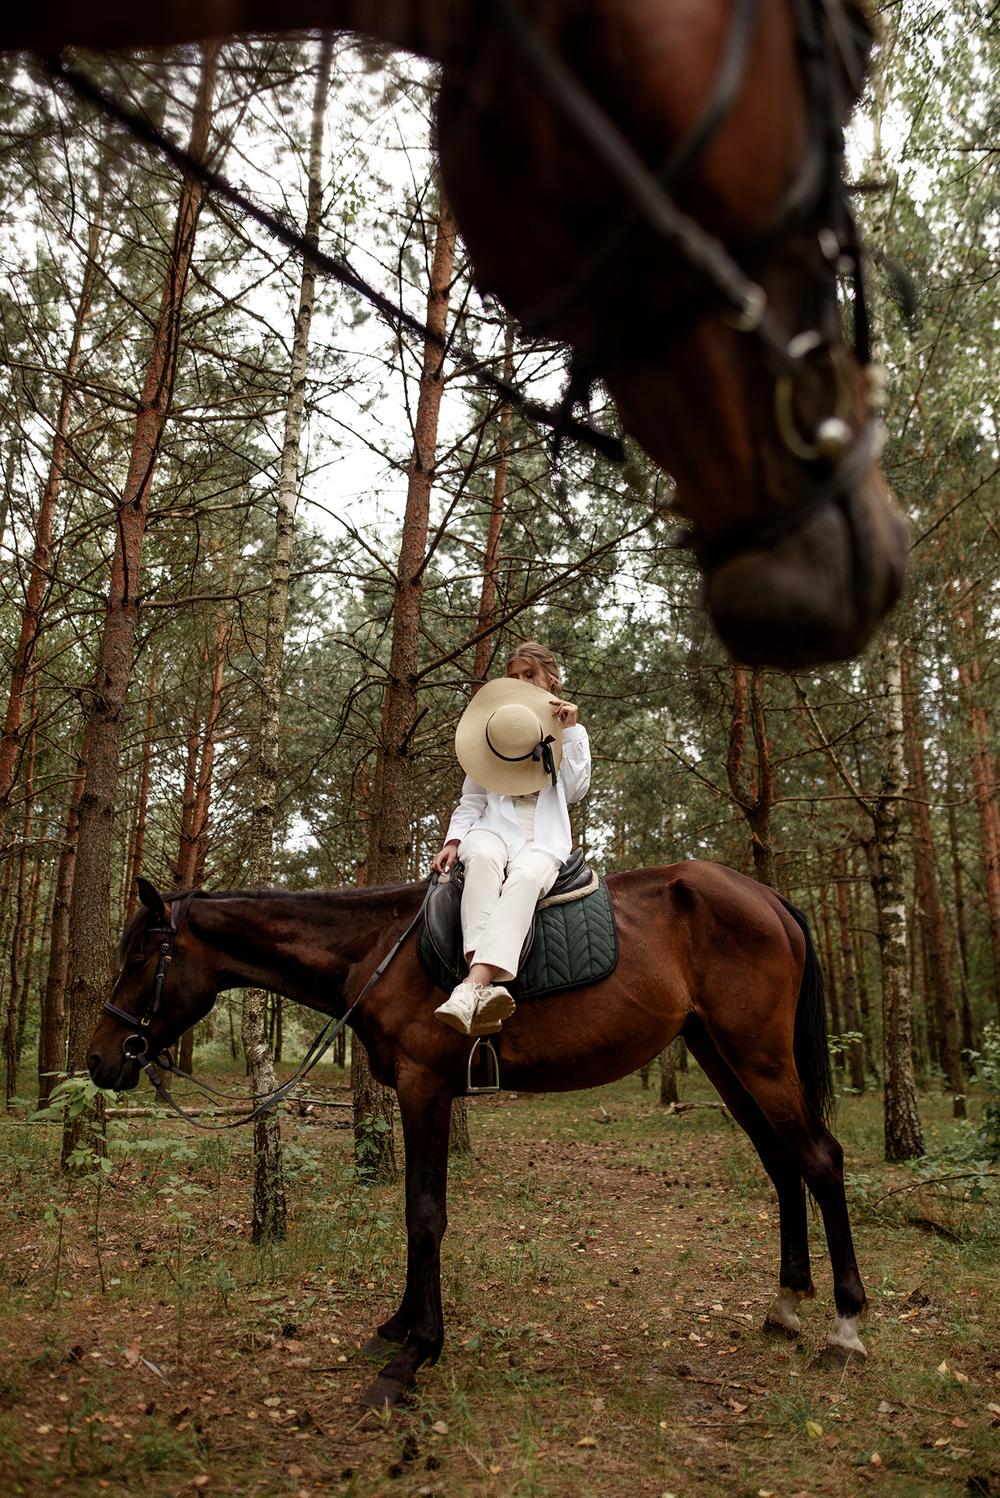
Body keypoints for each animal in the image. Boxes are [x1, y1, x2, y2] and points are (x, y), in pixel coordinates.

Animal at [86, 862, 868, 1408]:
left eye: (137, 960)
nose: (99, 1059)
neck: (377, 949)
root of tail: (766, 897)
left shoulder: (425, 1085)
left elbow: (424, 1214)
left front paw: (413, 1357)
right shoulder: (417, 1092)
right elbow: (414, 1213)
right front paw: (399, 1328)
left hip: (759, 1058)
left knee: (820, 1160)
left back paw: (845, 1328)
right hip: (721, 1054)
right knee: (782, 1165)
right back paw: (786, 1308)